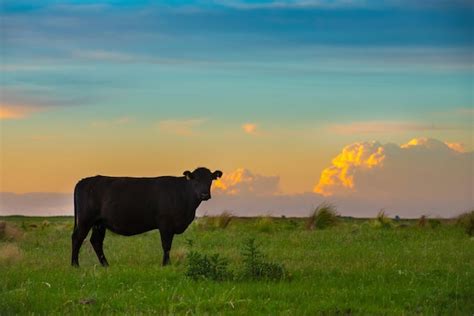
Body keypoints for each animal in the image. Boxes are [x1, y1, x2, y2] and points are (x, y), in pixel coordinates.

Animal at [70, 168, 222, 266]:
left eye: (210, 180)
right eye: (195, 180)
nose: (204, 194)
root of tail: (84, 181)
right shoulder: (165, 223)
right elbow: (166, 245)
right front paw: (166, 264)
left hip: (99, 223)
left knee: (96, 241)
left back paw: (105, 265)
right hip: (85, 219)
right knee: (77, 238)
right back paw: (75, 265)